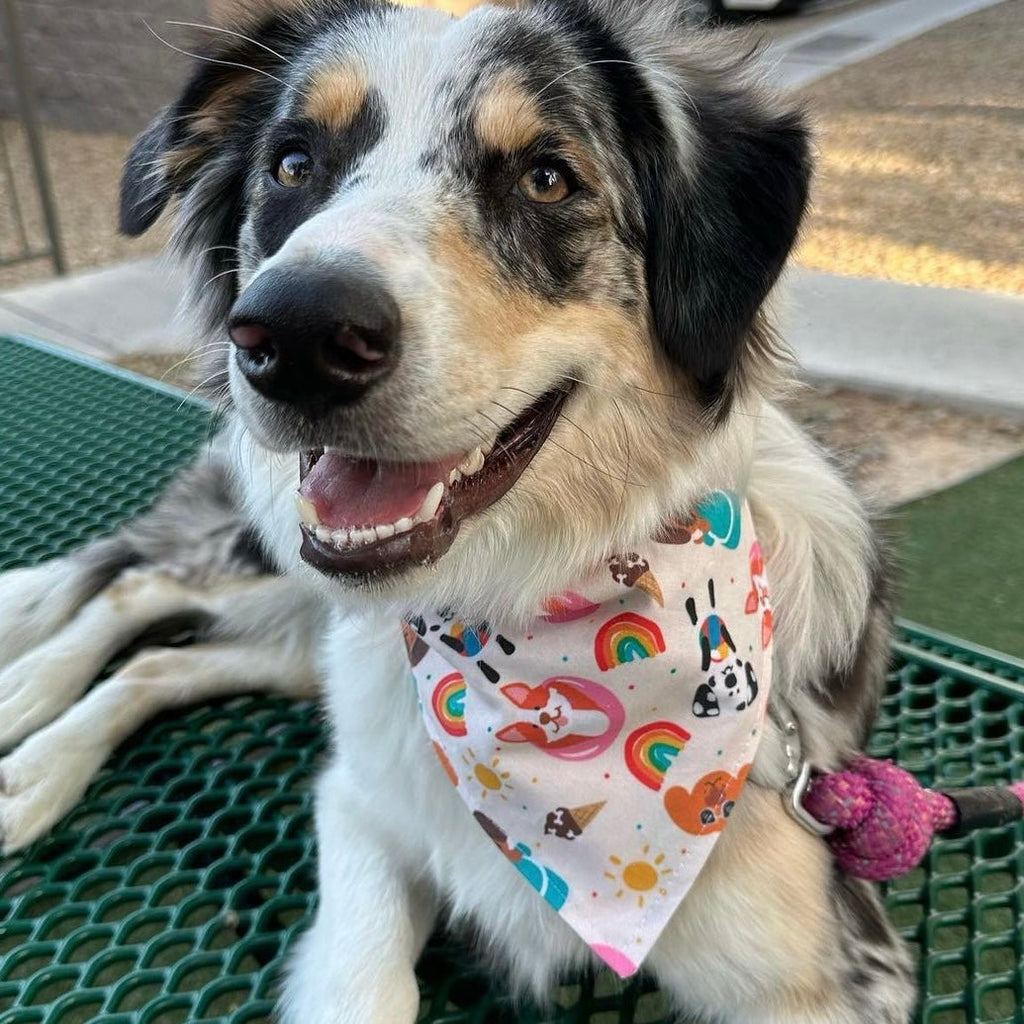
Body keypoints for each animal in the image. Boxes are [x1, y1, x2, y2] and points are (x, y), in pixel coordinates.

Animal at [0, 2, 913, 1024]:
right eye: (293, 164)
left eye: (546, 177)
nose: (295, 333)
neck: (519, 613)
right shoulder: (359, 808)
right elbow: (366, 983)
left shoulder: (830, 974)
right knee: (142, 587)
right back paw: (28, 710)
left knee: (165, 655)